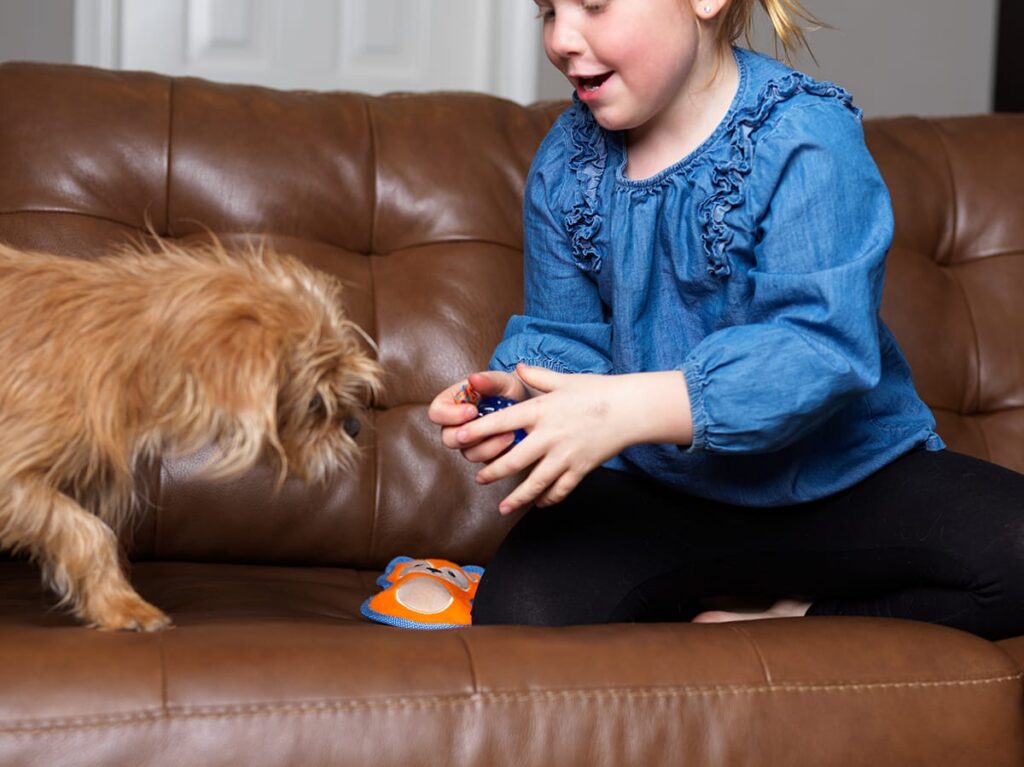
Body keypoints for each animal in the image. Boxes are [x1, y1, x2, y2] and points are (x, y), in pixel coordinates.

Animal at [0, 237, 380, 626]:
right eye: (315, 400)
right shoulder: (11, 474)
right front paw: (123, 605)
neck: (128, 342)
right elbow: (90, 533)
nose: (353, 426)